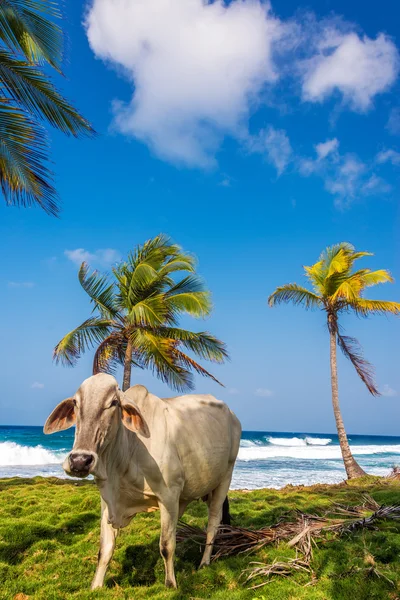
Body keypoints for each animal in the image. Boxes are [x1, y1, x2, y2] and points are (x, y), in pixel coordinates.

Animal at [45, 372, 242, 588]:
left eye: (113, 402)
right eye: (75, 402)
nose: (80, 460)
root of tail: (232, 414)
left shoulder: (169, 496)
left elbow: (166, 545)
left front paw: (171, 584)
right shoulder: (108, 502)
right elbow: (105, 549)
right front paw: (95, 586)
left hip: (225, 477)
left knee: (213, 524)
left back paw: (204, 562)